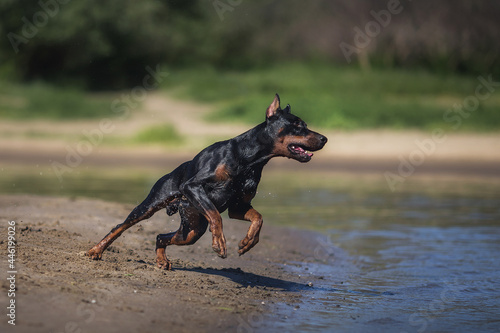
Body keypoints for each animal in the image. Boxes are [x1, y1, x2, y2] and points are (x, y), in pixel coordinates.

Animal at [87, 92, 328, 268]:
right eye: (298, 125)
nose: (325, 138)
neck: (250, 160)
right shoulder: (193, 186)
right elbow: (215, 215)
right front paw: (219, 243)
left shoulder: (239, 206)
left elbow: (258, 218)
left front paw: (248, 242)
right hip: (153, 204)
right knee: (120, 226)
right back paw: (96, 251)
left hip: (191, 231)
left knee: (161, 236)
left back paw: (162, 260)